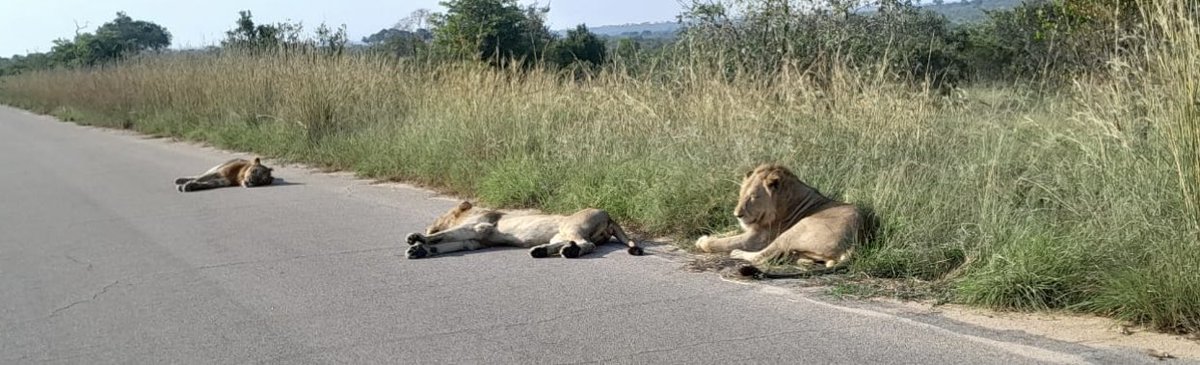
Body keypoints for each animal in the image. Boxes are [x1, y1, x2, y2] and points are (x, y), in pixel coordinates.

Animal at [696, 164, 873, 278]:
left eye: (753, 197)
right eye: (740, 195)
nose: (737, 215)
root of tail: (858, 239)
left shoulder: (757, 238)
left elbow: (726, 242)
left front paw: (705, 243)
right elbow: (727, 234)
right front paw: (705, 237)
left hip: (795, 229)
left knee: (761, 256)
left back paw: (737, 253)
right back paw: (802, 260)